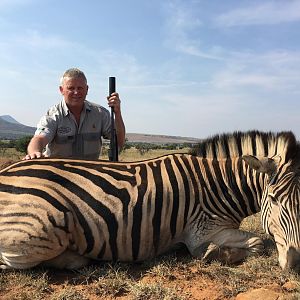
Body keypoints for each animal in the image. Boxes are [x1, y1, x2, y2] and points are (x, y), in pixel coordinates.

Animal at [0, 130, 298, 270]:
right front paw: (216, 254)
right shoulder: (203, 231)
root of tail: (7, 170)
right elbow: (259, 242)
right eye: (274, 199)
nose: (295, 263)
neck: (219, 185)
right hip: (35, 231)